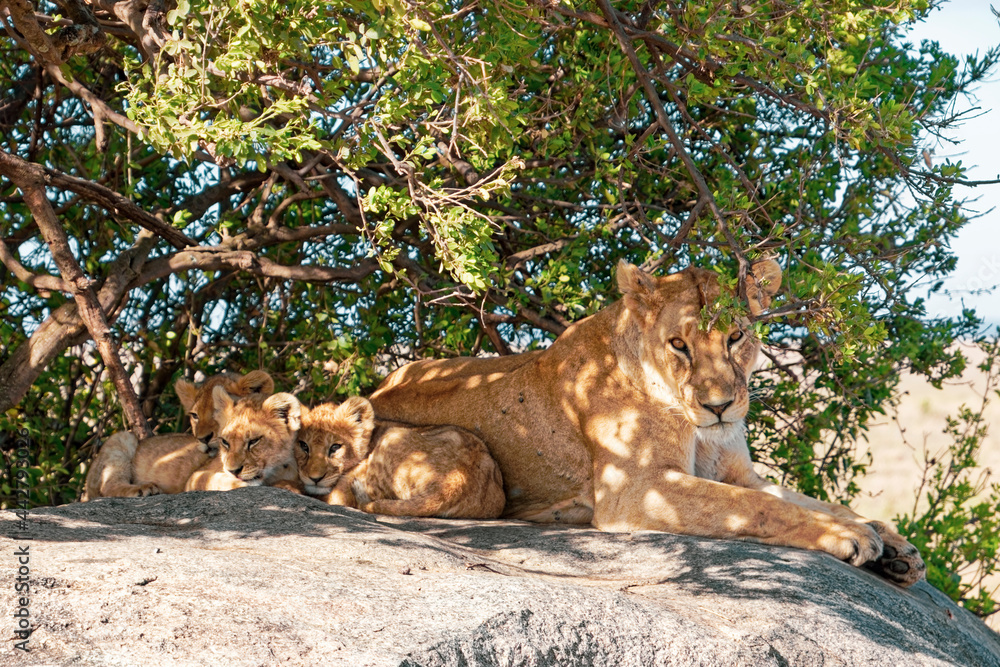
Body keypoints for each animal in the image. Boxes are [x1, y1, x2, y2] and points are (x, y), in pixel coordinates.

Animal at [82, 371, 274, 500]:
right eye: (195, 415)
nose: (203, 438)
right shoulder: (197, 477)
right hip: (121, 439)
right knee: (108, 487)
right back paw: (143, 489)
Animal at [370, 260, 926, 586]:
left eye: (736, 336)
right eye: (679, 344)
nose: (720, 406)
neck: (699, 429)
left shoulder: (738, 472)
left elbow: (798, 499)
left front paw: (893, 545)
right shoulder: (635, 489)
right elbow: (757, 508)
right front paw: (851, 536)